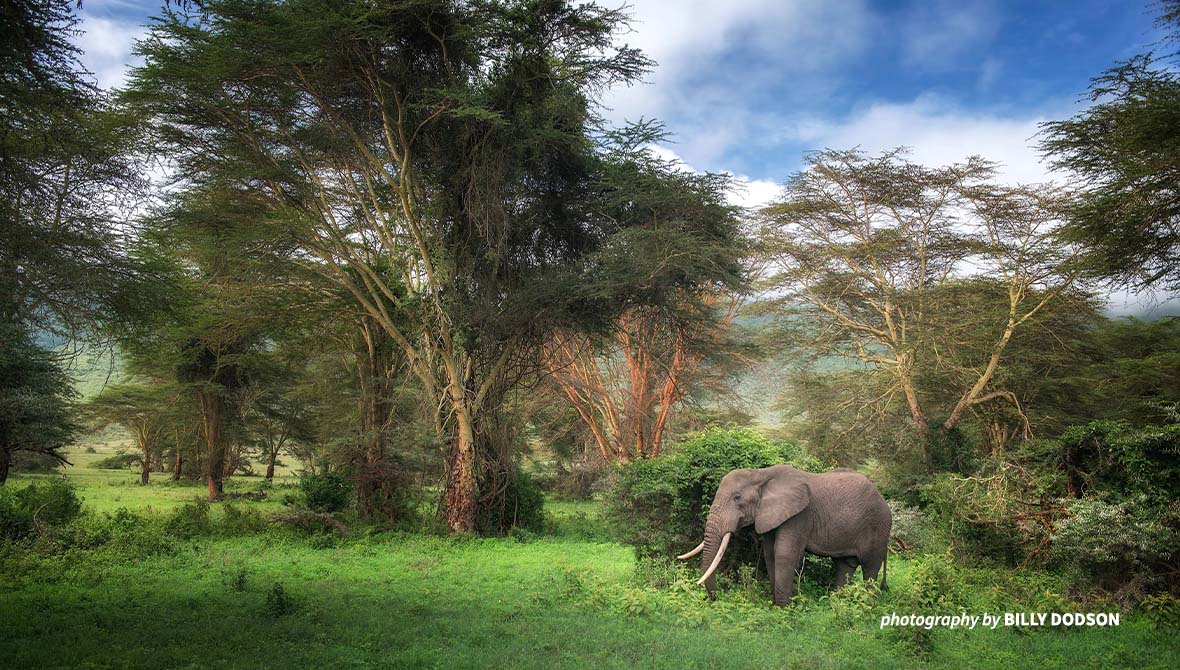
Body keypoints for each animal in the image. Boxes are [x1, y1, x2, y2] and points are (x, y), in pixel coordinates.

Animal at [679, 464, 887, 608]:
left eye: (737, 498)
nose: (714, 598)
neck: (761, 474)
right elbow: (770, 554)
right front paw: (776, 606)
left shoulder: (799, 516)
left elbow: (783, 554)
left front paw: (783, 609)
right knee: (845, 566)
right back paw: (840, 603)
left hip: (877, 527)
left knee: (870, 568)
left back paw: (868, 605)